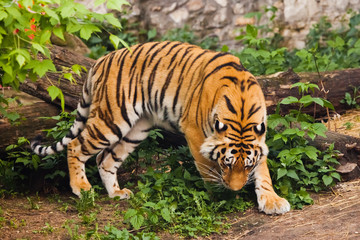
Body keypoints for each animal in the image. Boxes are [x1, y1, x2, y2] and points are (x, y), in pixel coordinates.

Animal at [30, 40, 290, 214]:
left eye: (246, 166)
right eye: (226, 163)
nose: (235, 189)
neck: (242, 112)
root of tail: (101, 60)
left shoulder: (259, 139)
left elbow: (264, 173)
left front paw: (272, 201)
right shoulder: (194, 131)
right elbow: (207, 168)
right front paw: (220, 196)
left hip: (136, 129)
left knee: (104, 159)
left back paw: (116, 193)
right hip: (111, 118)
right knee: (75, 145)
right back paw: (81, 188)